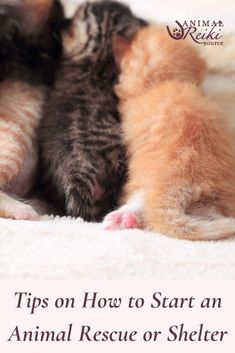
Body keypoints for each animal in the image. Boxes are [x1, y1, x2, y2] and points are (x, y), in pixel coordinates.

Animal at [104, 26, 235, 239]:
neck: (163, 82)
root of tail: (184, 180)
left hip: (144, 181)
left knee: (141, 200)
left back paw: (122, 218)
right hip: (213, 202)